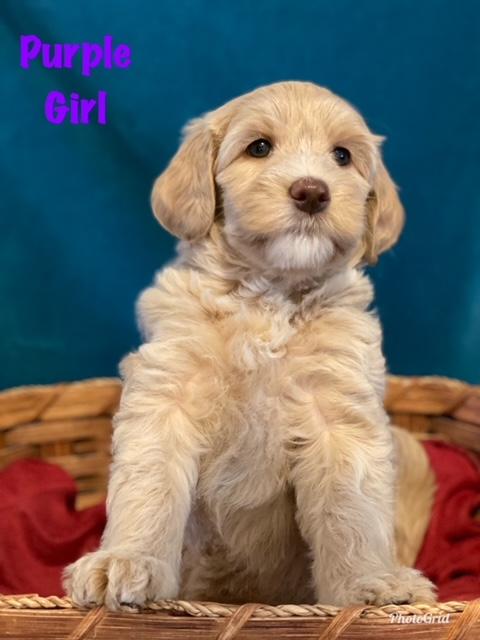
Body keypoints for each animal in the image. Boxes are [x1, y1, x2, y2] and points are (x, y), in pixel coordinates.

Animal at [65, 81, 436, 609]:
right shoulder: (168, 392)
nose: (311, 191)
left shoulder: (337, 411)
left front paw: (369, 581)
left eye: (342, 156)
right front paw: (127, 560)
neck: (267, 300)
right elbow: (150, 484)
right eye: (259, 147)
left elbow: (352, 510)